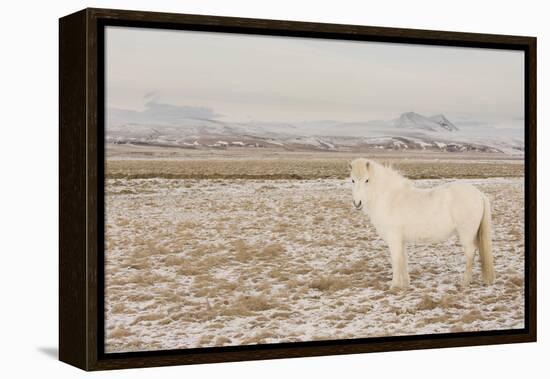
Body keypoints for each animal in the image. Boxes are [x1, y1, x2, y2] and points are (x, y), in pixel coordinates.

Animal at [352, 159, 498, 290]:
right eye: (352, 180)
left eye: (367, 180)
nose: (357, 203)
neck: (390, 198)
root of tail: (480, 194)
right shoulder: (401, 240)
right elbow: (403, 259)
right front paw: (405, 283)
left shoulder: (394, 239)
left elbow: (396, 260)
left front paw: (394, 285)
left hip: (466, 234)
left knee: (470, 253)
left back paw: (464, 282)